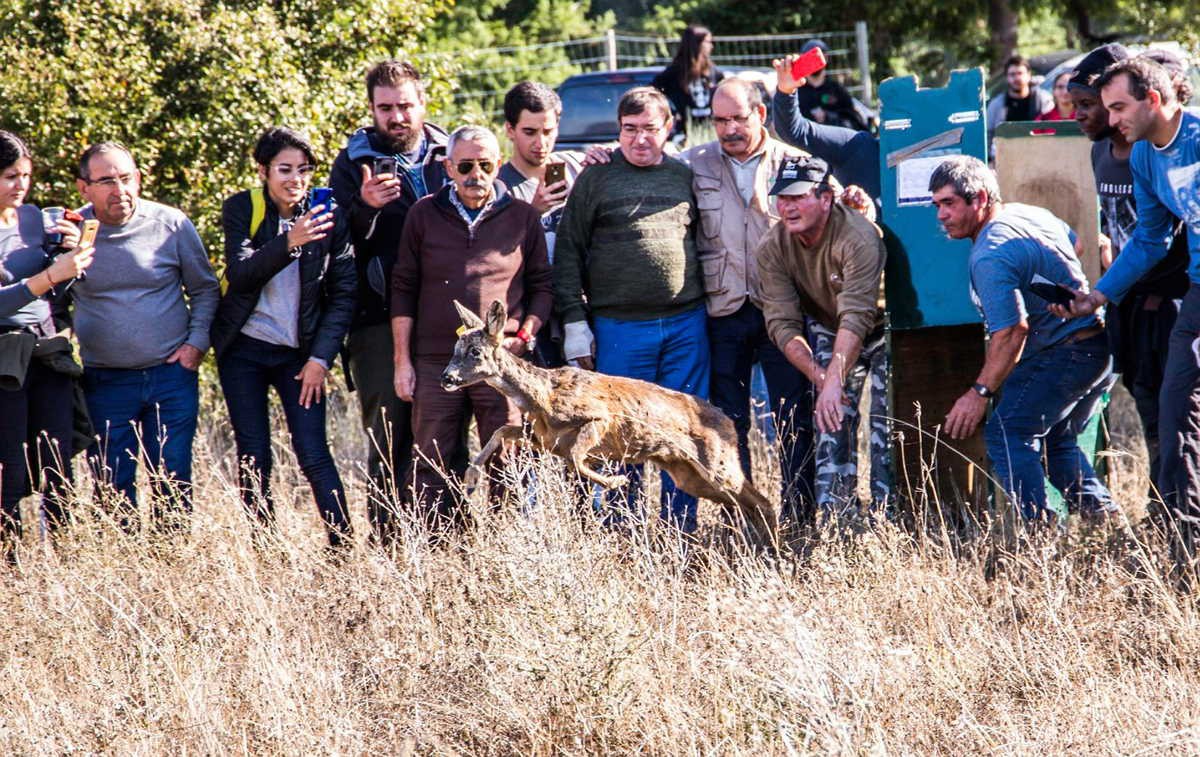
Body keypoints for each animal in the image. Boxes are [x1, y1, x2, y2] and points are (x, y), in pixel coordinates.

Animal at [441, 298, 777, 547]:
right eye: (455, 349)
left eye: (475, 352)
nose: (446, 378)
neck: (543, 396)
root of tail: (729, 422)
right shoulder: (543, 439)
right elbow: (501, 432)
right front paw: (470, 480)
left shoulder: (598, 418)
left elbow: (577, 457)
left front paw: (617, 481)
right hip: (688, 474)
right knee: (743, 504)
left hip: (717, 464)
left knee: (761, 501)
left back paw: (772, 547)